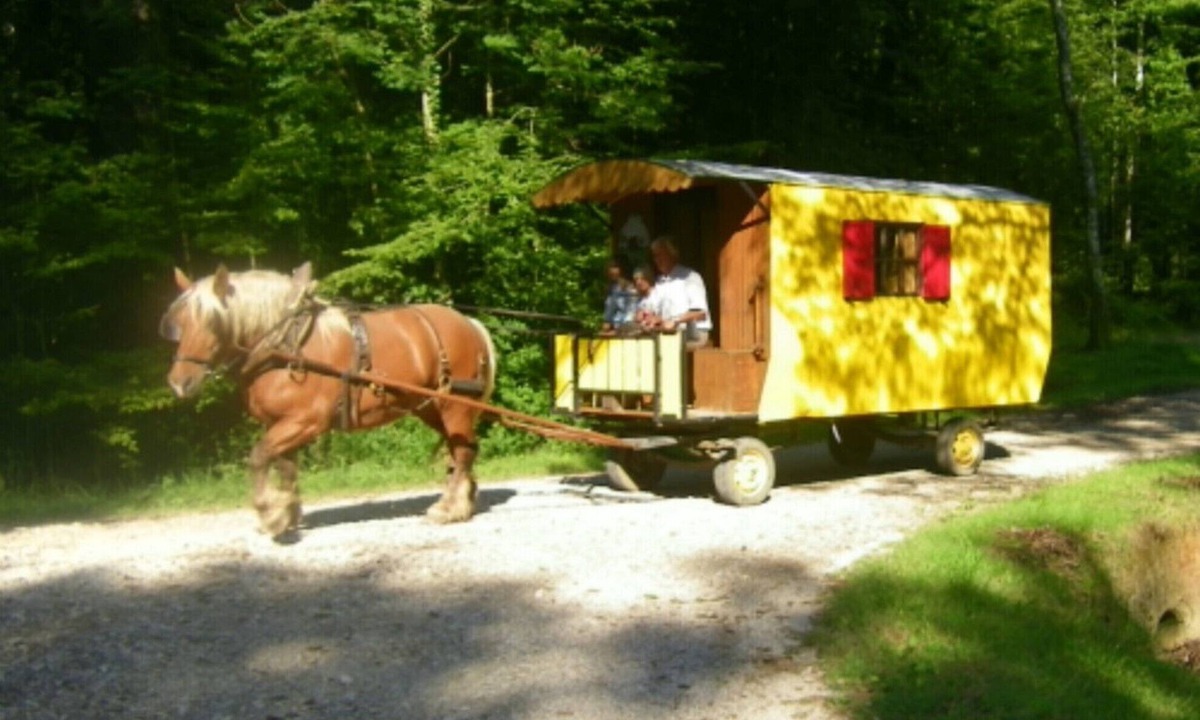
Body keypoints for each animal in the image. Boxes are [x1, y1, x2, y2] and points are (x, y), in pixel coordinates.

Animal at [159, 262, 497, 539]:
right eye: (179, 323)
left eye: (213, 322)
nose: (179, 383)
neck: (285, 346)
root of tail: (469, 323)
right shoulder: (280, 423)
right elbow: (286, 467)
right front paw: (287, 511)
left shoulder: (304, 421)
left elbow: (258, 457)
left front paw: (269, 513)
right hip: (429, 407)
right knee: (461, 448)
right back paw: (464, 500)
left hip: (455, 405)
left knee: (463, 451)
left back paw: (449, 507)